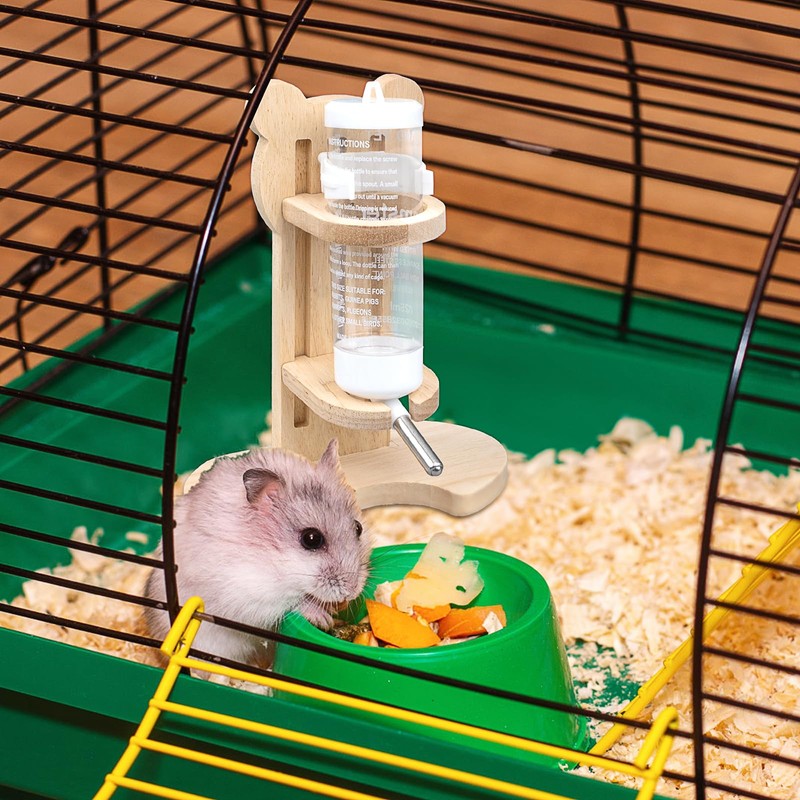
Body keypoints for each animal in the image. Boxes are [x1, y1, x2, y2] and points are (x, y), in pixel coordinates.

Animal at [144, 439, 372, 668]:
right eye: (311, 539)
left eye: (358, 527)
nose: (352, 592)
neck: (270, 557)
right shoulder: (249, 592)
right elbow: (292, 602)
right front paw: (323, 618)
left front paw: (340, 606)